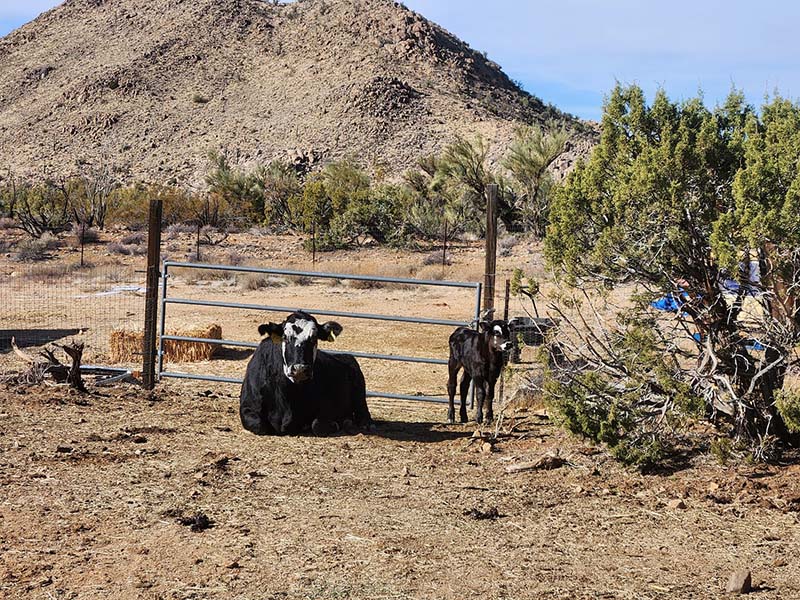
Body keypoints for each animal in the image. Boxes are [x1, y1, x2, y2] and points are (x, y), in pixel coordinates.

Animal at [239, 312, 374, 434]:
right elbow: (259, 425)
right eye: (285, 337)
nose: (300, 368)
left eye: (314, 338)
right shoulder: (247, 407)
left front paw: (339, 423)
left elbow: (317, 425)